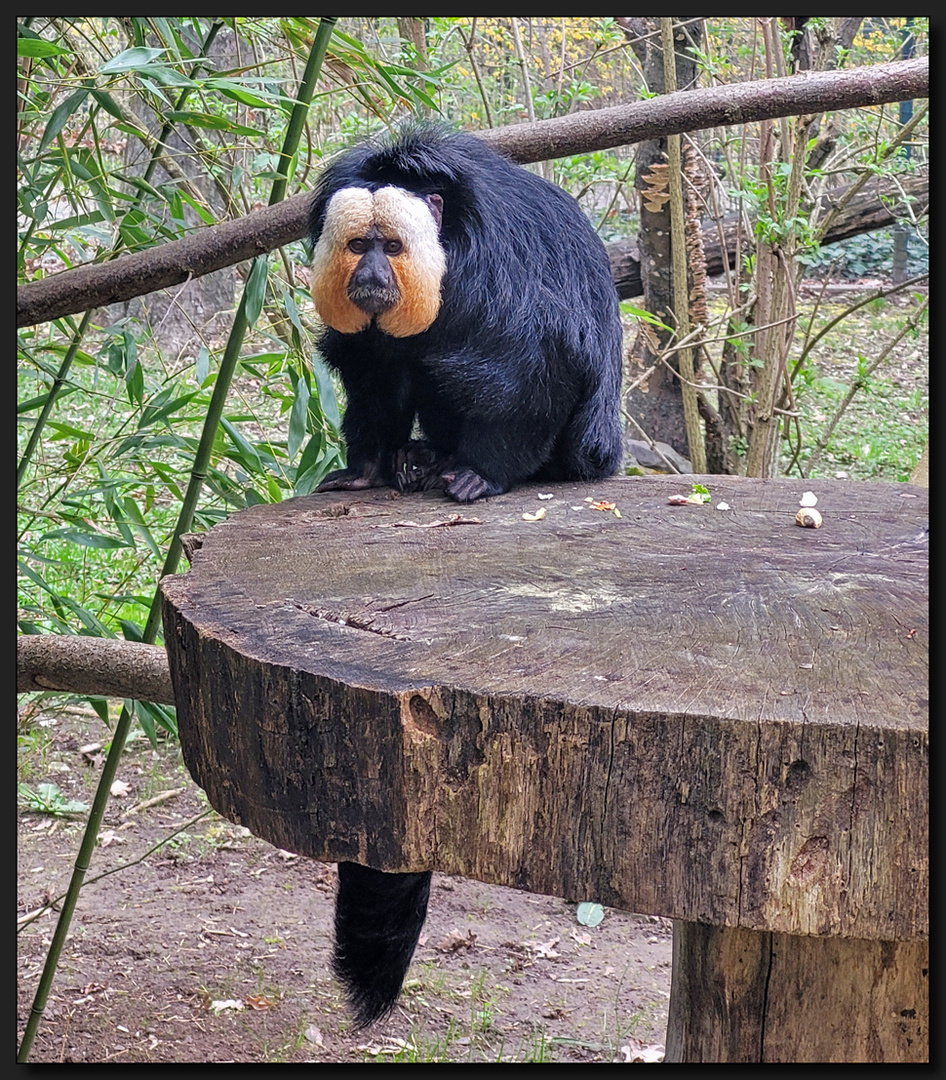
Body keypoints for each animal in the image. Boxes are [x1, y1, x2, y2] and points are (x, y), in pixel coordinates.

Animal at [306, 126, 626, 1028]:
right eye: (358, 246)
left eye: (391, 247)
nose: (372, 277)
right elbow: (374, 367)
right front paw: (369, 465)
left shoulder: (501, 282)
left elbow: (528, 365)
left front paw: (480, 471)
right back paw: (415, 459)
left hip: (588, 446)